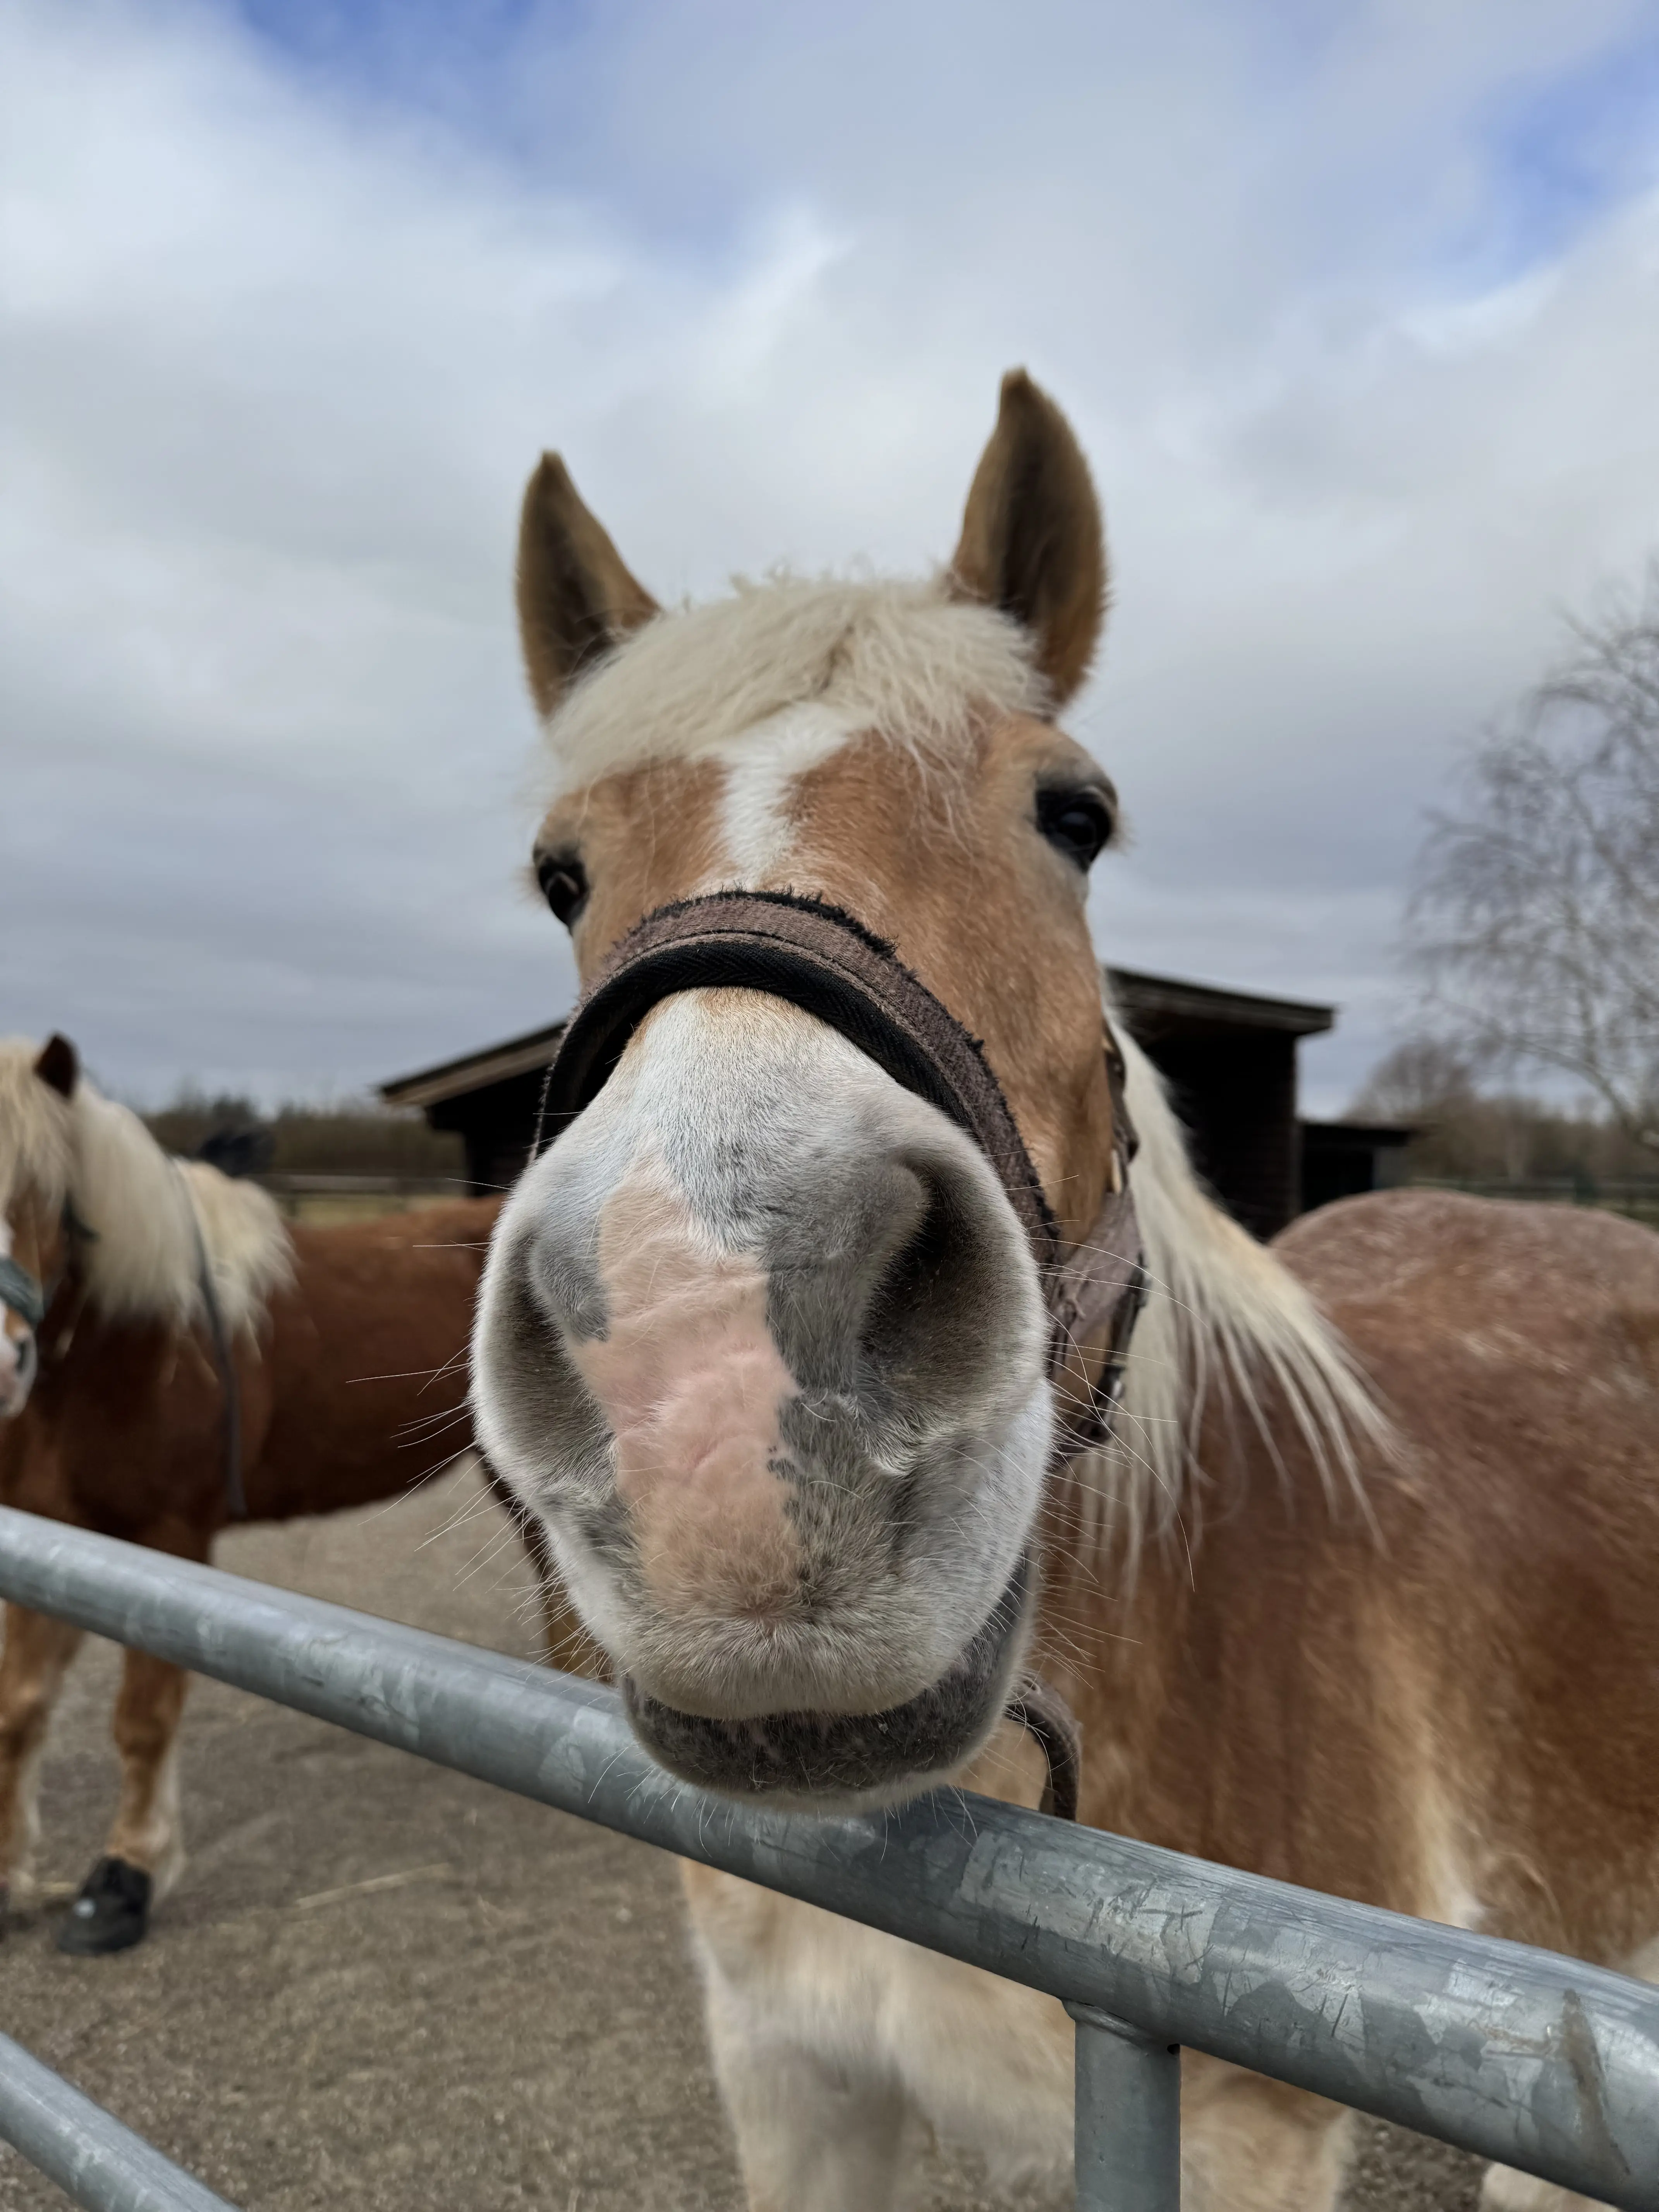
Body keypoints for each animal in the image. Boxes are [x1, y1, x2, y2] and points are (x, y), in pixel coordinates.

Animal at [0, 1035, 526, 1955]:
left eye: (42, 1188)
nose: (0, 1360)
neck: (133, 1337)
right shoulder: (56, 1539)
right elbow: (19, 1715)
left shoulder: (169, 1540)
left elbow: (143, 1720)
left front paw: (124, 1881)